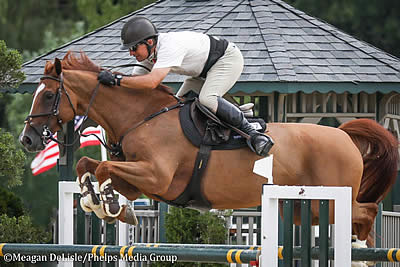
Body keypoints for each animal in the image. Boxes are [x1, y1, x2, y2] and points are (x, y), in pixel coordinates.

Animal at [20, 51, 398, 242]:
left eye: (49, 95)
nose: (27, 139)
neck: (141, 117)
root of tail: (343, 135)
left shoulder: (156, 176)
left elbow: (103, 166)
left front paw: (107, 203)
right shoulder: (142, 183)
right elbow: (88, 166)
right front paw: (99, 202)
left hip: (332, 200)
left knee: (367, 212)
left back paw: (359, 246)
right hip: (305, 208)